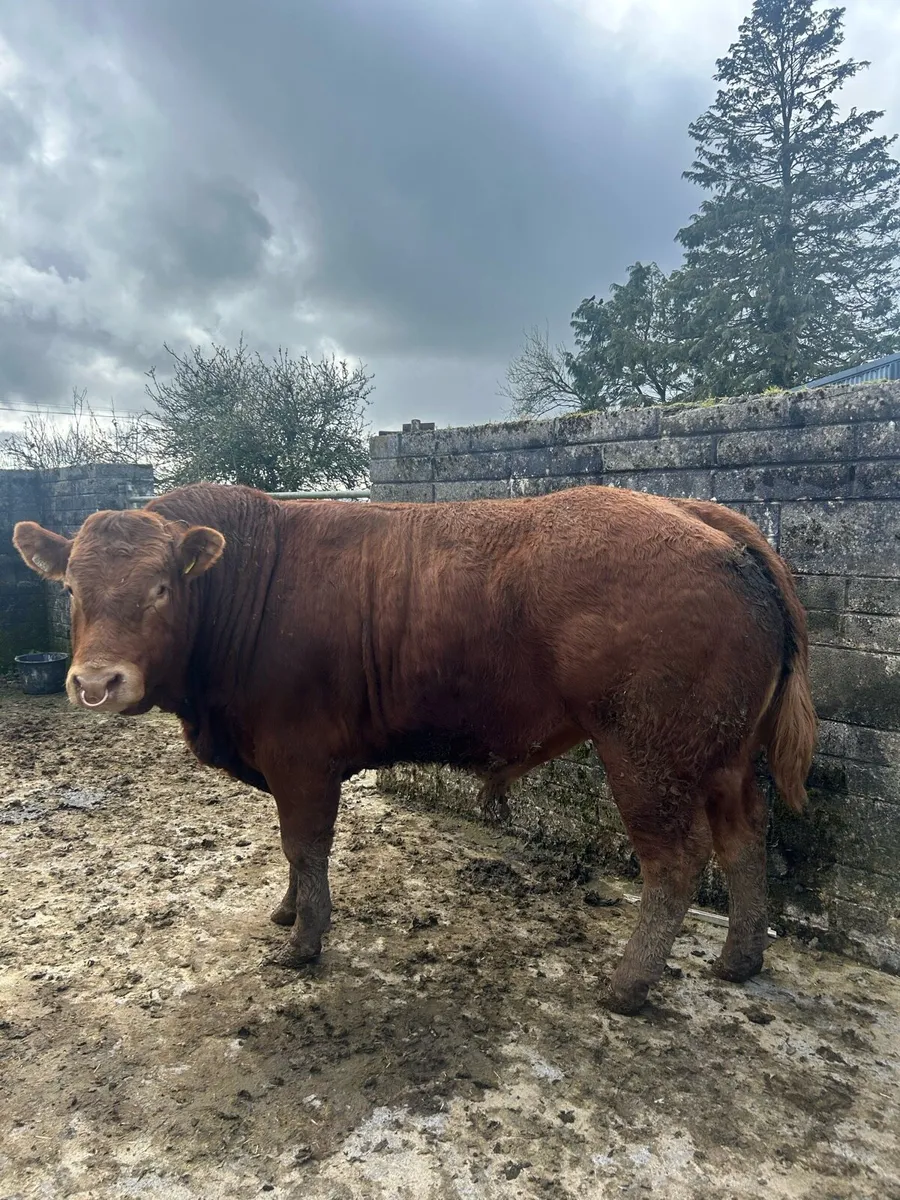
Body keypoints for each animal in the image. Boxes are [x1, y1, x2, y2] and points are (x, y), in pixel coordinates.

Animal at [13, 482, 816, 1014]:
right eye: (74, 589)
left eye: (159, 587)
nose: (96, 682)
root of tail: (700, 515)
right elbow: (291, 851)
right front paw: (287, 911)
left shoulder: (301, 758)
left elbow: (304, 844)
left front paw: (304, 939)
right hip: (724, 756)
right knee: (743, 839)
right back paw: (740, 958)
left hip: (646, 753)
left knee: (676, 863)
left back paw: (627, 985)